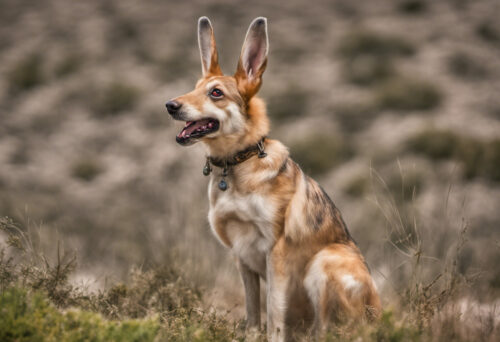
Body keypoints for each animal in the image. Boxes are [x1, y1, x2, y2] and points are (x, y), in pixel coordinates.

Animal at [166, 16, 380, 342]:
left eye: (216, 93)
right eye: (194, 88)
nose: (170, 105)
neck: (238, 165)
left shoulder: (275, 254)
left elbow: (274, 314)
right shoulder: (242, 257)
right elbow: (254, 314)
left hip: (323, 262)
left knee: (325, 330)